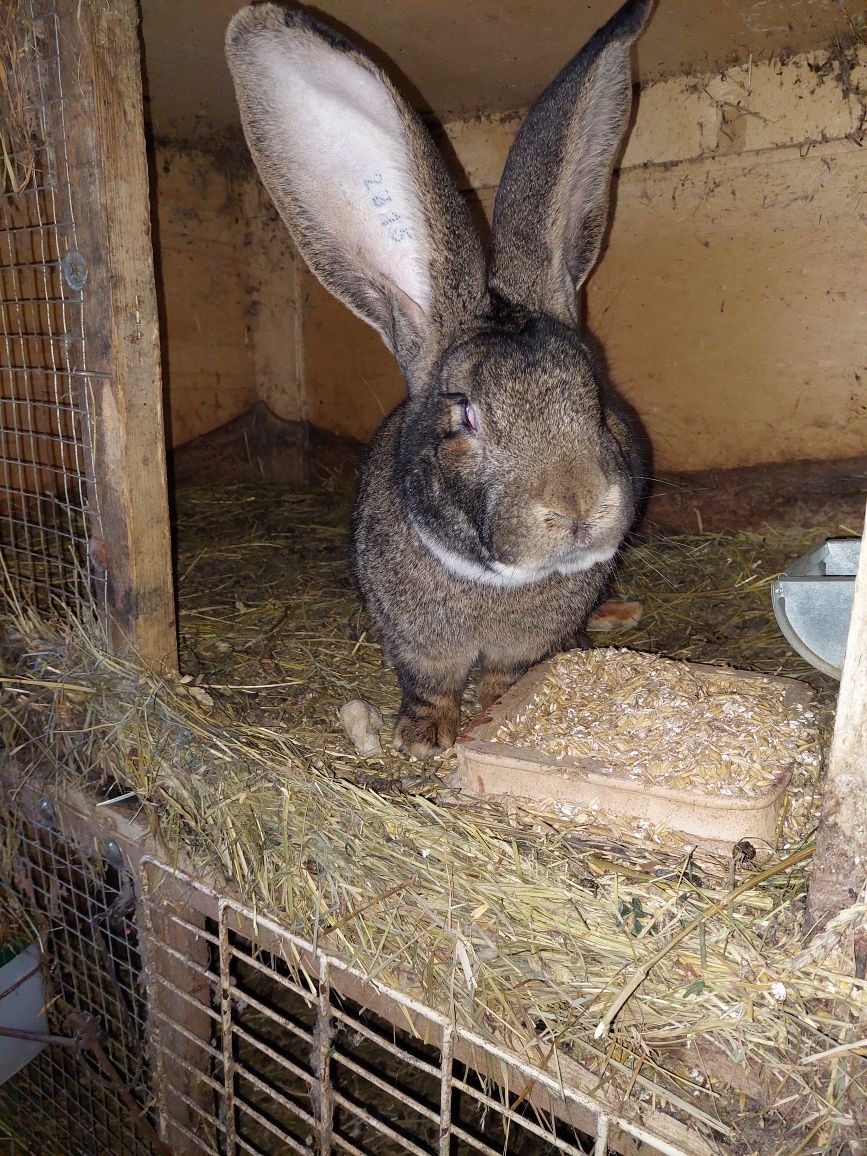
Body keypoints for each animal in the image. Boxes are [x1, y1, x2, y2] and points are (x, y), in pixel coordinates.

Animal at [227, 0, 656, 758]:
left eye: (596, 394)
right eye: (465, 416)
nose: (577, 508)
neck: (495, 582)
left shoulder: (524, 643)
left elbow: (509, 674)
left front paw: (498, 709)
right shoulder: (417, 644)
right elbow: (429, 682)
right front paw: (423, 737)